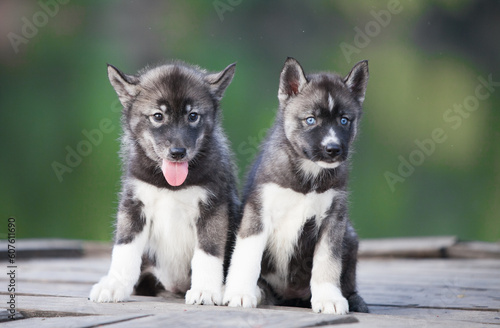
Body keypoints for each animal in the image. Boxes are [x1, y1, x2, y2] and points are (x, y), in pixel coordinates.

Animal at [90, 60, 240, 304]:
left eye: (193, 116)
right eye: (158, 116)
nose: (177, 153)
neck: (170, 186)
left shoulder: (214, 208)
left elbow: (208, 252)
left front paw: (205, 290)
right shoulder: (133, 205)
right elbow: (124, 248)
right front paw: (114, 284)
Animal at [223, 57, 368, 314]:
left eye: (344, 120)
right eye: (310, 119)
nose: (333, 149)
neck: (307, 179)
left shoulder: (334, 220)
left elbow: (328, 262)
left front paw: (329, 298)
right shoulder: (257, 212)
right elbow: (247, 257)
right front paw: (240, 292)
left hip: (350, 235)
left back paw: (353, 299)